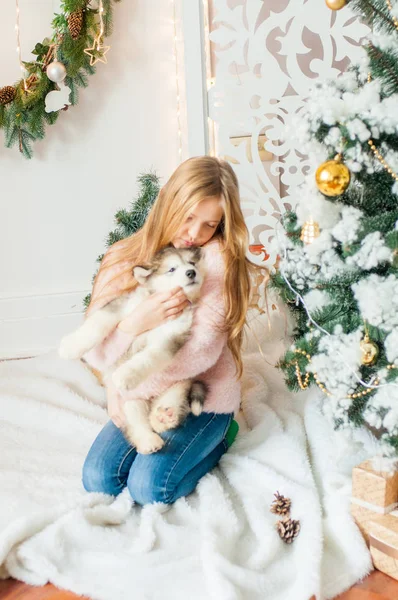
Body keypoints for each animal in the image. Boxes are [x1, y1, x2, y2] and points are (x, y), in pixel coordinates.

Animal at [60, 246, 208, 452]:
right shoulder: (122, 307)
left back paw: (163, 418)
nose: (191, 272)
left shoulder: (170, 336)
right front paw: (70, 347)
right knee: (137, 423)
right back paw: (148, 440)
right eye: (171, 269)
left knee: (165, 411)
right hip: (130, 401)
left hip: (179, 385)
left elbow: (149, 357)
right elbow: (96, 325)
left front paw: (125, 375)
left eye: (192, 263)